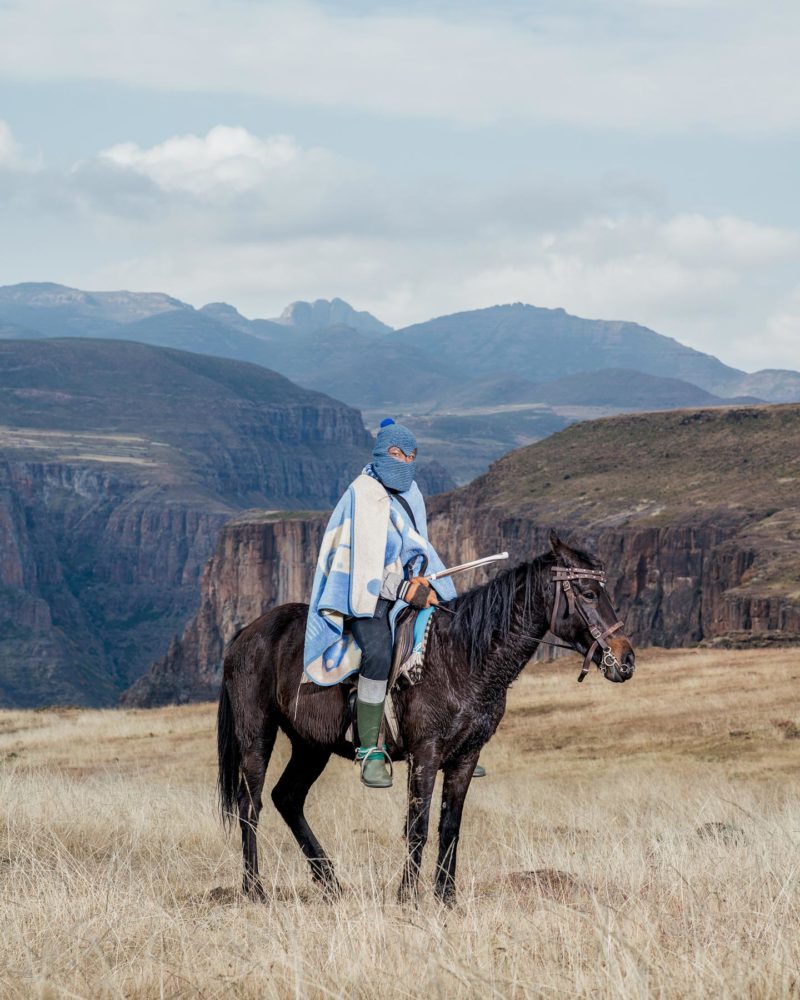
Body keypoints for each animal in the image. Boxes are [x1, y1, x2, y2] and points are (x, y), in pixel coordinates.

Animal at [216, 532, 636, 908]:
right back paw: (255, 890)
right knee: (250, 804)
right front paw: (408, 897)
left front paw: (446, 897)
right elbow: (417, 826)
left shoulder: (465, 757)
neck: (462, 656)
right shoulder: (425, 754)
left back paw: (330, 883)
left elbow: (449, 826)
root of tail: (246, 634)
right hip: (257, 734)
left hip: (311, 746)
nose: (625, 658)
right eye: (588, 593)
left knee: (287, 798)